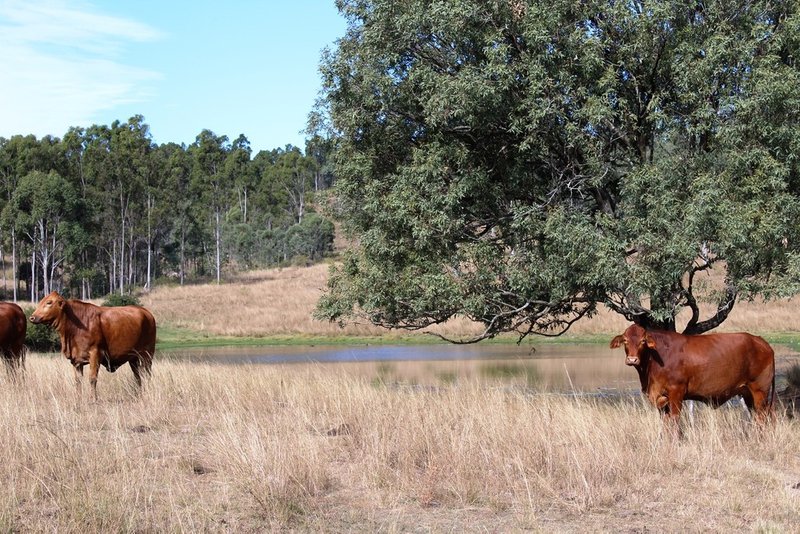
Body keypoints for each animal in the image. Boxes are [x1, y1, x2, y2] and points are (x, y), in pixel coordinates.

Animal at [612, 324, 776, 430]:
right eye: (625, 340)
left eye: (643, 341)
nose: (632, 359)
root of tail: (761, 341)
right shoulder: (661, 398)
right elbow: (665, 423)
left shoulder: (676, 392)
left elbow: (674, 420)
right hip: (747, 393)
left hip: (760, 391)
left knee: (762, 417)